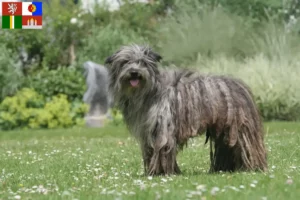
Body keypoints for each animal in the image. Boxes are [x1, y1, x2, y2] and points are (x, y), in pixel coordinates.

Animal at [105, 44, 268, 175]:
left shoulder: (163, 129)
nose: (134, 72)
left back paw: (253, 167)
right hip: (225, 131)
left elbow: (161, 149)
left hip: (240, 129)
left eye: (143, 63)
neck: (149, 91)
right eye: (125, 62)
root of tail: (241, 86)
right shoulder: (148, 133)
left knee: (248, 147)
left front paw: (161, 172)